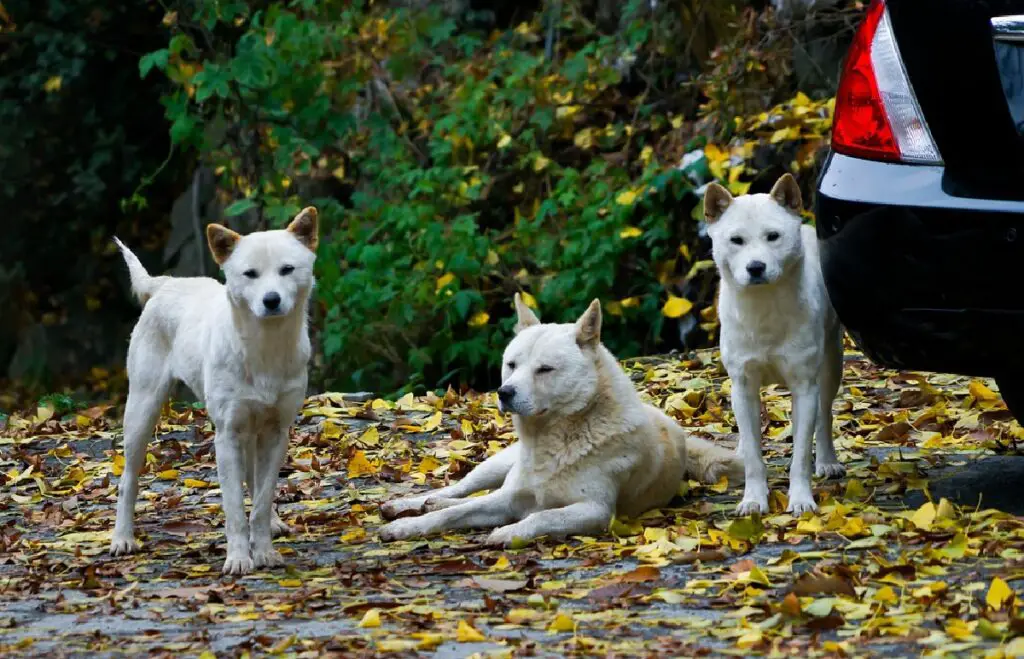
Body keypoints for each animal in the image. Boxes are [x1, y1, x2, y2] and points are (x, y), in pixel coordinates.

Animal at [107, 208, 315, 573]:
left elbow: (261, 501)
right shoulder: (227, 436)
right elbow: (234, 510)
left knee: (255, 483)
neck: (264, 350)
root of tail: (166, 283)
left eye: (287, 269)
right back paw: (123, 539)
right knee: (127, 481)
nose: (271, 300)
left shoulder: (276, 433)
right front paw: (239, 559)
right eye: (250, 274)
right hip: (141, 414)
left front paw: (264, 551)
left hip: (251, 432)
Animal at [376, 292, 745, 544]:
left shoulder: (594, 510)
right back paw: (412, 504)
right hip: (496, 465)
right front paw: (406, 526)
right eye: (511, 365)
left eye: (544, 369)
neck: (553, 442)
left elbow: (541, 518)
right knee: (460, 490)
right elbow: (455, 512)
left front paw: (509, 533)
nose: (504, 392)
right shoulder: (508, 498)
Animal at [708, 173, 843, 515]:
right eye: (736, 240)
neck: (764, 310)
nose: (755, 267)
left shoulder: (804, 386)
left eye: (773, 237)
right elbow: (755, 457)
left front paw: (801, 499)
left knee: (825, 416)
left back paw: (828, 461)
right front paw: (753, 500)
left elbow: (801, 455)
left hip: (831, 366)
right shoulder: (743, 385)